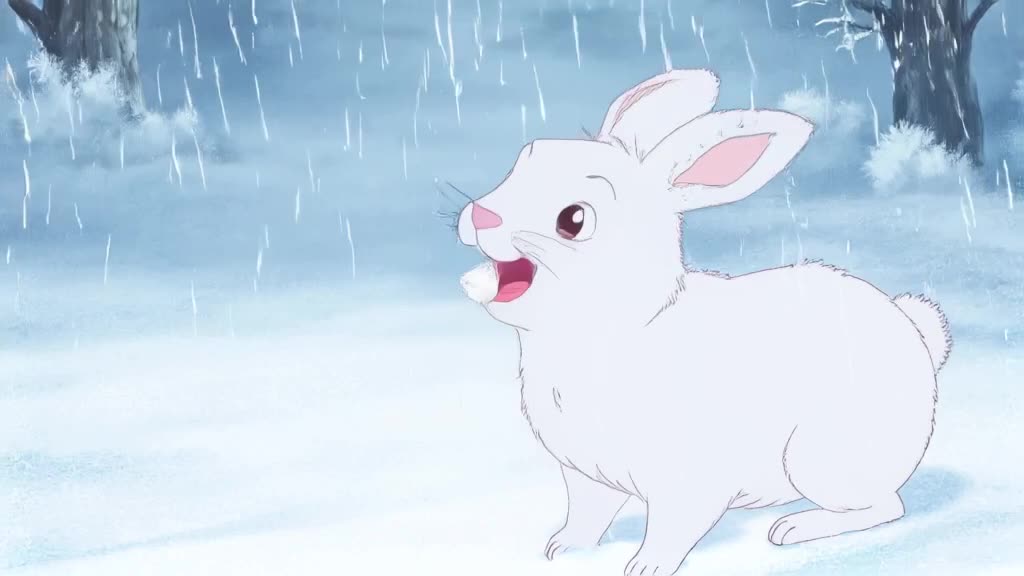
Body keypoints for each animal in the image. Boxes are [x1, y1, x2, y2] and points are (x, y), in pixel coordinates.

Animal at [456, 69, 952, 576]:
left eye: (574, 219)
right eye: (523, 160)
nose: (482, 215)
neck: (607, 330)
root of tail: (917, 334)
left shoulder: (688, 483)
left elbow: (672, 528)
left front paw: (645, 567)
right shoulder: (585, 476)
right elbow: (587, 515)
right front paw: (563, 549)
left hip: (822, 460)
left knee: (887, 506)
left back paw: (793, 528)